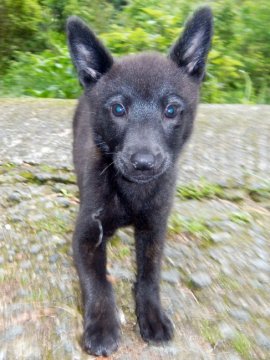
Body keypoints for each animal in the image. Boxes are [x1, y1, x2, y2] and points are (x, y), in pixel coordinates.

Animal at [67, 7, 213, 356]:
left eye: (171, 110)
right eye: (118, 109)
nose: (144, 163)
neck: (132, 192)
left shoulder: (154, 228)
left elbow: (149, 276)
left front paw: (153, 316)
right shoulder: (87, 235)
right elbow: (98, 283)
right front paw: (102, 327)